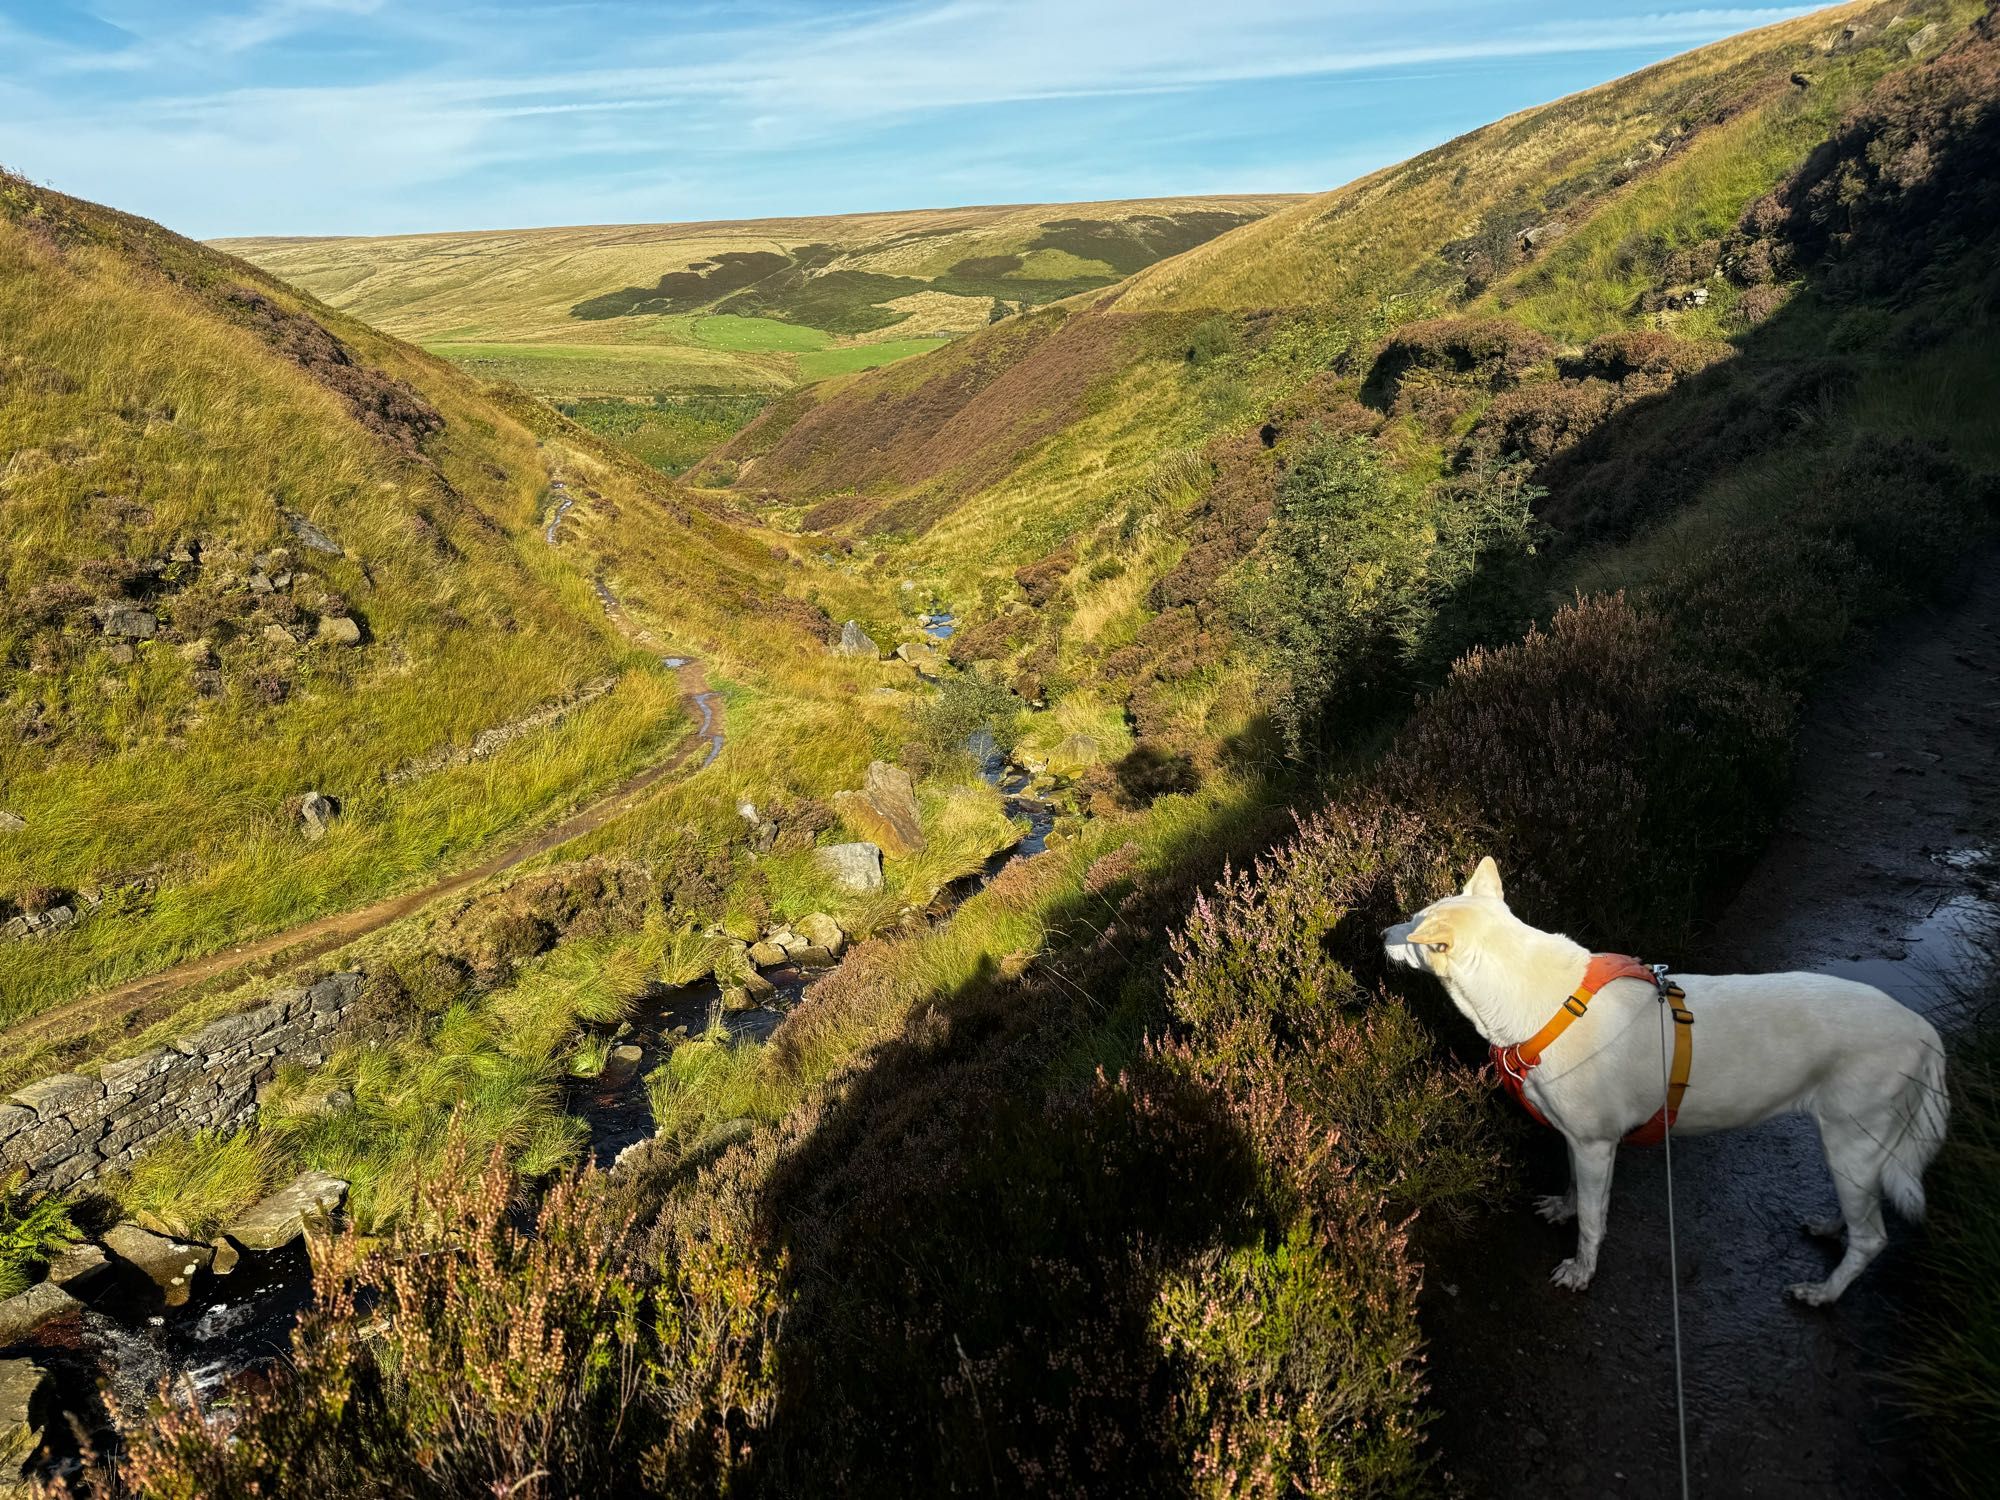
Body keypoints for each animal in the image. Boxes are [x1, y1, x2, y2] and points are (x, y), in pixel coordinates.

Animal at [1384, 856, 1944, 1304]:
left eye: (1415, 927)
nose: (1381, 934)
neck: (1541, 999)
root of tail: (1923, 1029)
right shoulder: (1579, 1140)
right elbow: (1574, 1190)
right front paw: (1563, 1207)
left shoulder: (1595, 1144)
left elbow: (1593, 1218)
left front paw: (1581, 1271)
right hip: (1854, 1152)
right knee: (1863, 1210)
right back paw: (1831, 1227)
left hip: (1854, 1140)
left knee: (1872, 1236)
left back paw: (1824, 1292)